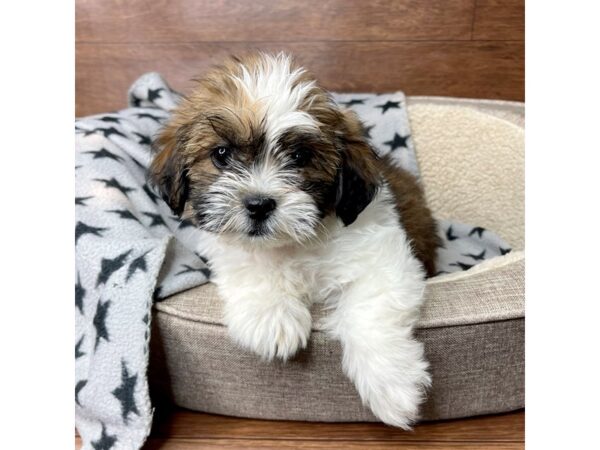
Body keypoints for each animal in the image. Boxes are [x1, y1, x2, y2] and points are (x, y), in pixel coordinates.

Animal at [149, 52, 440, 428]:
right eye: (222, 154)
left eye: (300, 157)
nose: (258, 204)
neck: (292, 245)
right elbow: (251, 269)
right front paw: (273, 319)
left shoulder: (383, 258)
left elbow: (368, 311)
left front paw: (393, 386)